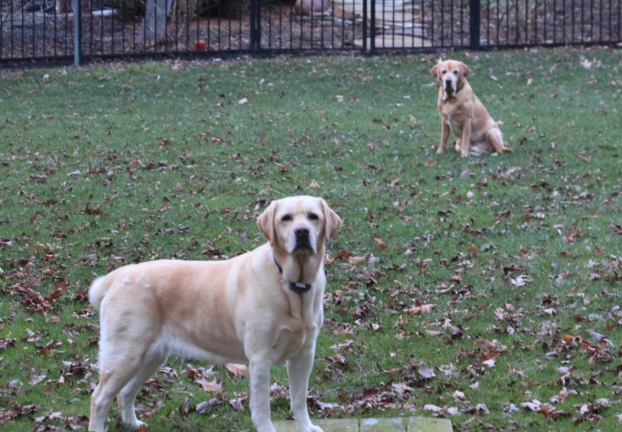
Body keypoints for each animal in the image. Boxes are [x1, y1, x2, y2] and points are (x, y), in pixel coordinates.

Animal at [86, 197, 342, 432]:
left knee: (125, 393)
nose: (302, 232)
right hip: (125, 354)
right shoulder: (260, 358)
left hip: (151, 356)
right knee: (99, 398)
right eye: (286, 218)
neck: (292, 284)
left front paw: (307, 428)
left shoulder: (304, 353)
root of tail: (118, 275)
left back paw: (134, 424)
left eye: (313, 217)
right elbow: (262, 409)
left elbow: (299, 399)